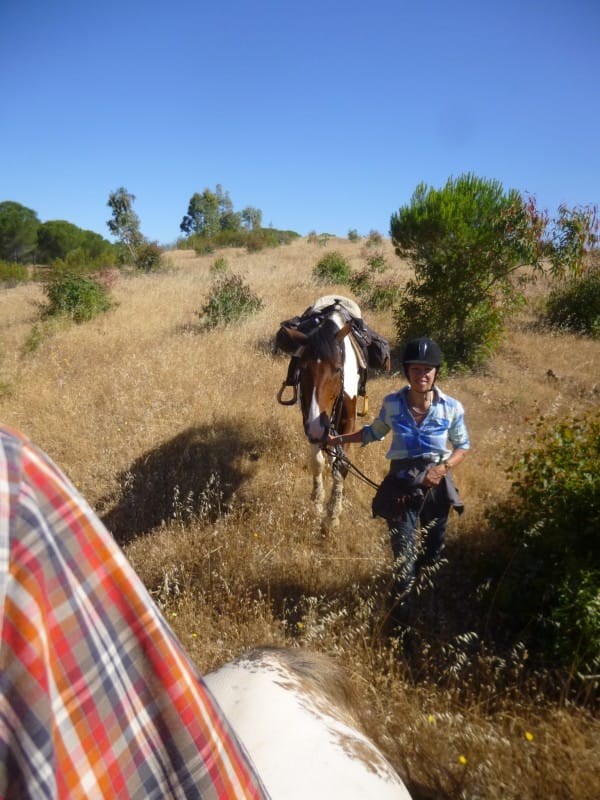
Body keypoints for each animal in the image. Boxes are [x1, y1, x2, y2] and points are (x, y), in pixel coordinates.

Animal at [278, 300, 358, 532]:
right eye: (302, 369)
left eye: (338, 369)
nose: (316, 427)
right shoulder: (309, 419)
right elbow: (317, 462)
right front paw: (317, 503)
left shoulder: (347, 422)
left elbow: (341, 466)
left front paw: (333, 516)